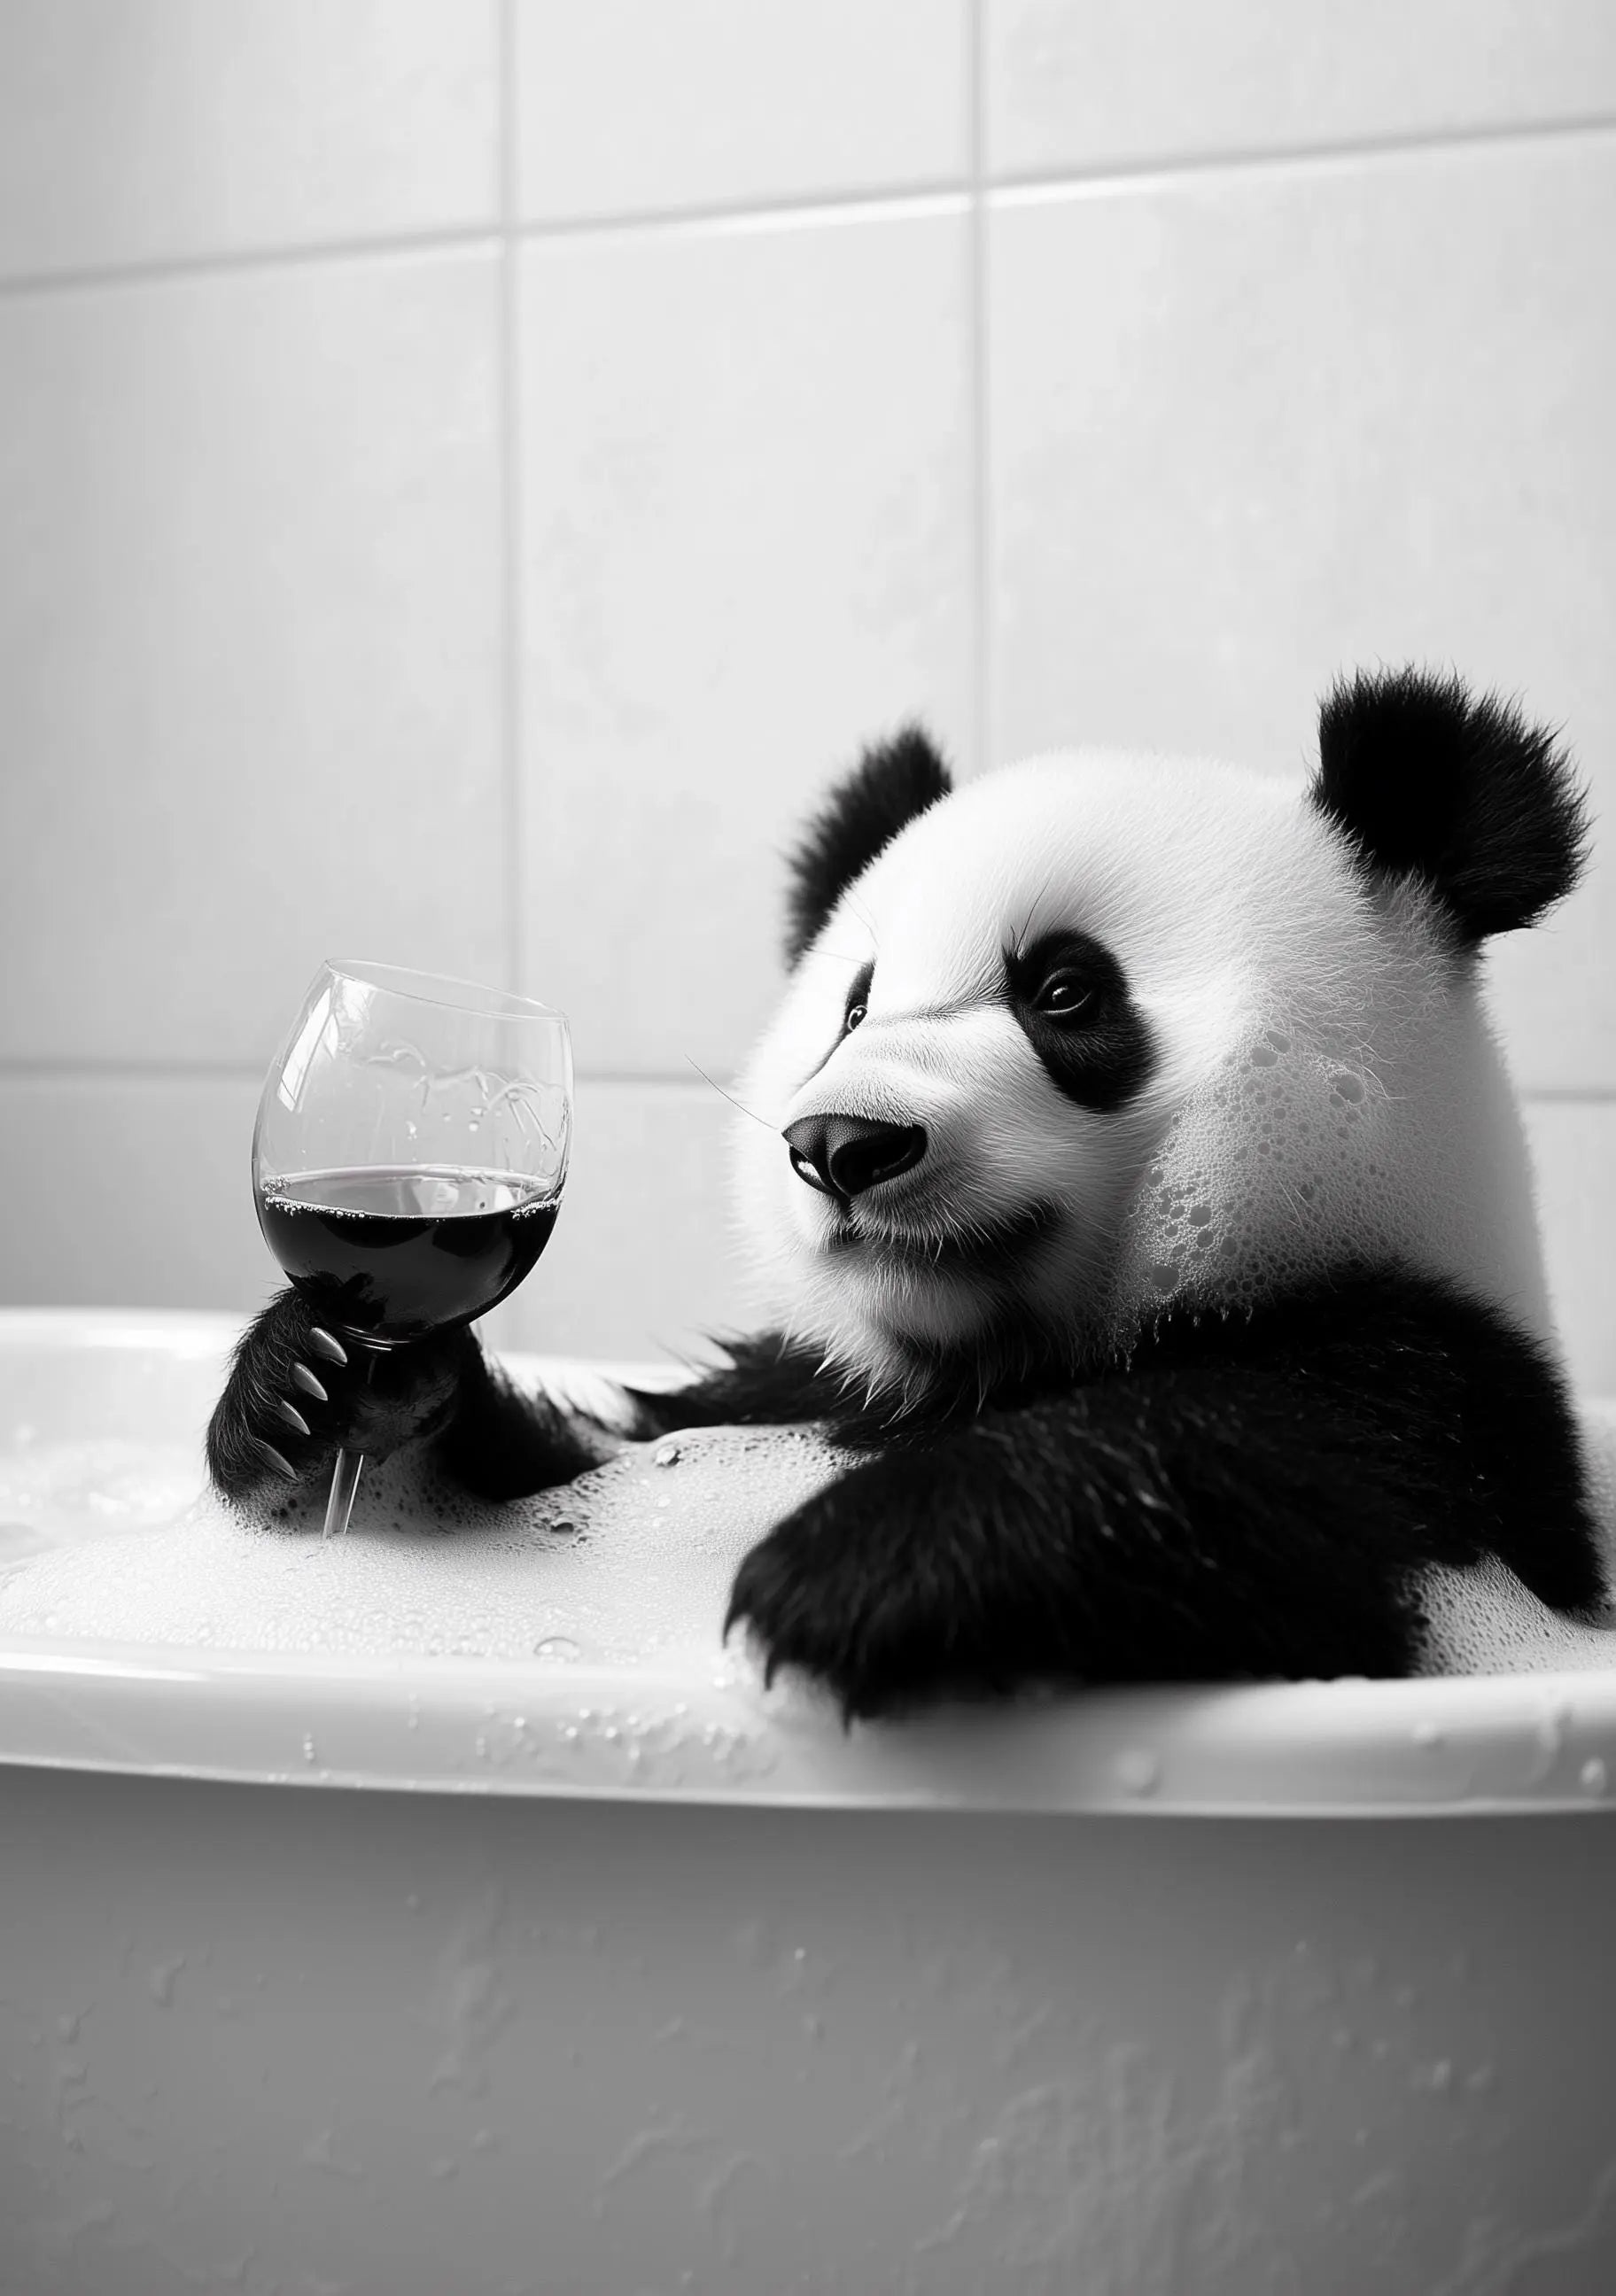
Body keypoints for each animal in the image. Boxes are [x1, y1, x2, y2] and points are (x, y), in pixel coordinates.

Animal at [208, 665, 1604, 1719]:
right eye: (855, 1005)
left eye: (1066, 992)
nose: (840, 1144)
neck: (975, 1365)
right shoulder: (792, 1391)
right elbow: (585, 1466)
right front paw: (329, 1388)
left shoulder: (1444, 1398)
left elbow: (1282, 1484)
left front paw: (868, 1568)